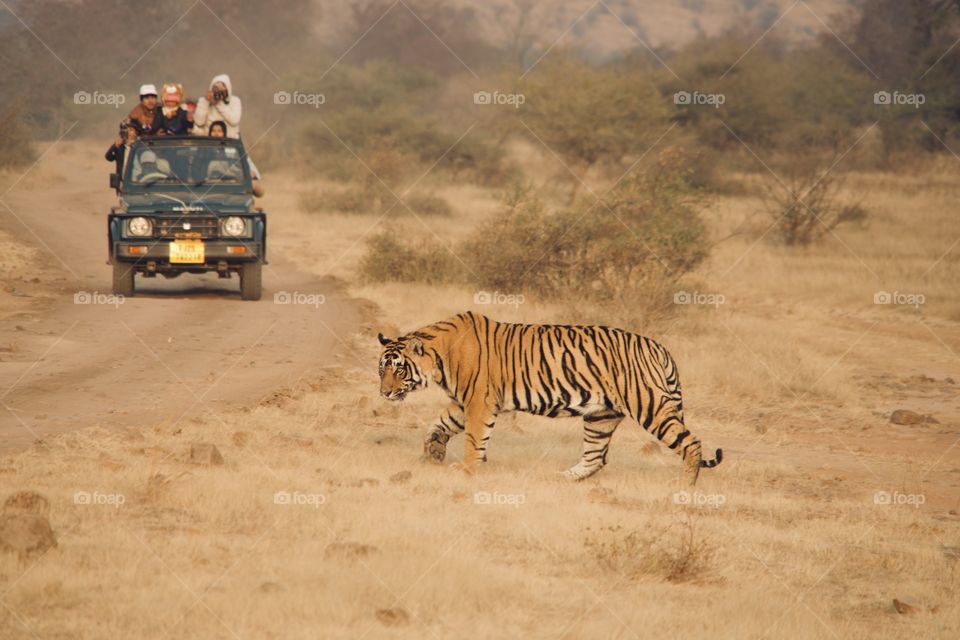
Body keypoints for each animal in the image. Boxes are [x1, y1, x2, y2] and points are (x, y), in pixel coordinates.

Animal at [377, 311, 722, 485]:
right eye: (381, 370)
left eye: (398, 370)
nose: (384, 393)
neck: (439, 358)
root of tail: (659, 347)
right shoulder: (464, 402)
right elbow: (438, 424)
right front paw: (433, 452)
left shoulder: (479, 401)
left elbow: (474, 439)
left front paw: (467, 469)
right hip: (601, 415)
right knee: (595, 457)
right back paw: (561, 478)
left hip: (649, 405)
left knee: (691, 443)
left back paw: (684, 488)